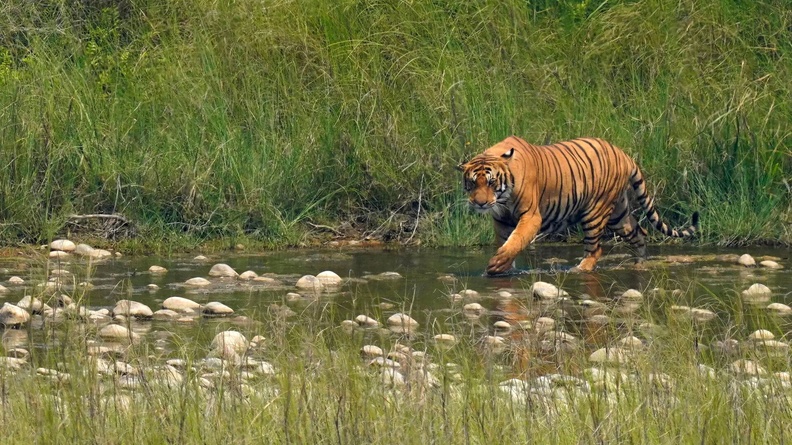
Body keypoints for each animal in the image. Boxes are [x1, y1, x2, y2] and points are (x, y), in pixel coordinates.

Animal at [458, 136, 699, 274]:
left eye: (491, 182)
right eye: (473, 183)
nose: (480, 204)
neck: (503, 199)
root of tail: (624, 154)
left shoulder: (531, 216)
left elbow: (515, 241)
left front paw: (497, 263)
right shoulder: (501, 220)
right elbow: (506, 242)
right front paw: (502, 268)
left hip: (595, 212)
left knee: (595, 249)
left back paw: (579, 269)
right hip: (619, 214)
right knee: (639, 233)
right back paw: (640, 264)